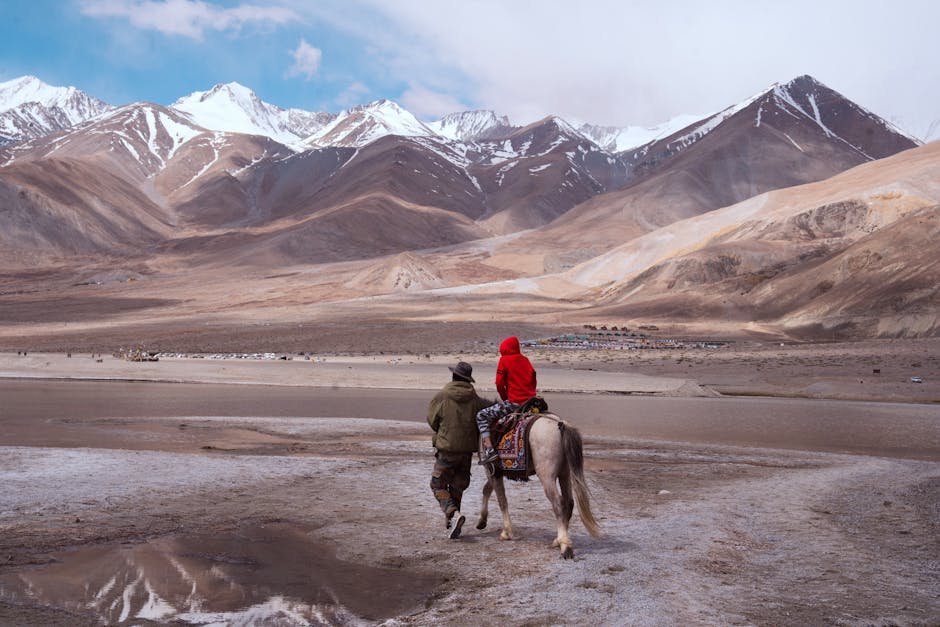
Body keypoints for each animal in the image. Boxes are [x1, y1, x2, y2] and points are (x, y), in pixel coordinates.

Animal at [475, 413, 600, 559]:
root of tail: (561, 425)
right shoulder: (495, 473)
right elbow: (487, 490)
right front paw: (482, 522)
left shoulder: (491, 471)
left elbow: (501, 500)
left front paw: (506, 532)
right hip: (565, 474)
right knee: (569, 502)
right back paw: (558, 541)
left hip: (547, 477)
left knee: (559, 503)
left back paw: (565, 546)